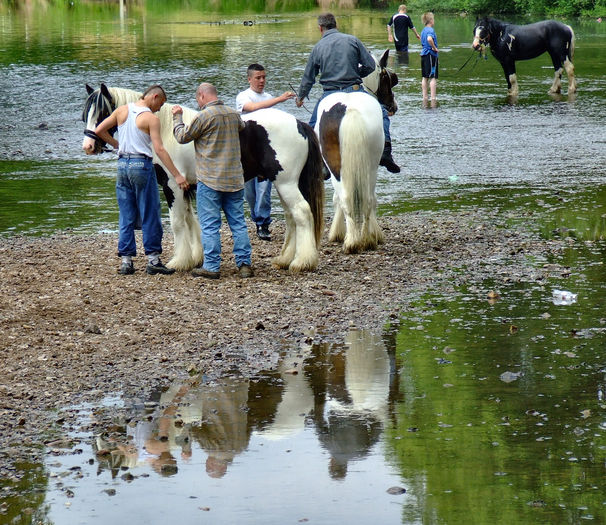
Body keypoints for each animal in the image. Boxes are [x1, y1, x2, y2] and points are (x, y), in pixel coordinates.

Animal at [83, 84, 328, 272]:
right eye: (86, 114)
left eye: (102, 113)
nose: (89, 146)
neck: (164, 131)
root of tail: (298, 124)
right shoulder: (185, 188)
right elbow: (191, 221)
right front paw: (194, 259)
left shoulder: (172, 186)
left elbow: (178, 223)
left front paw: (178, 262)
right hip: (283, 184)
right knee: (291, 217)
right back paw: (285, 259)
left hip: (286, 183)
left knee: (302, 213)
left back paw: (301, 262)